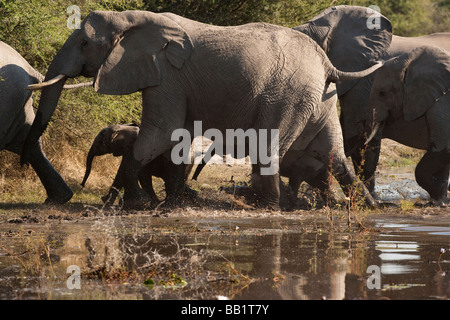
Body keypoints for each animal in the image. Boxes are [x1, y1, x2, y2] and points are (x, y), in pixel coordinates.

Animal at [22, 10, 384, 209]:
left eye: (84, 43)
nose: (25, 158)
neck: (133, 17)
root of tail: (326, 63)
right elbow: (172, 138)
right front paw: (165, 202)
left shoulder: (167, 75)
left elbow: (160, 132)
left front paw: (130, 204)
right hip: (321, 97)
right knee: (334, 152)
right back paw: (366, 207)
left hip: (288, 93)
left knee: (268, 145)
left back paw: (264, 206)